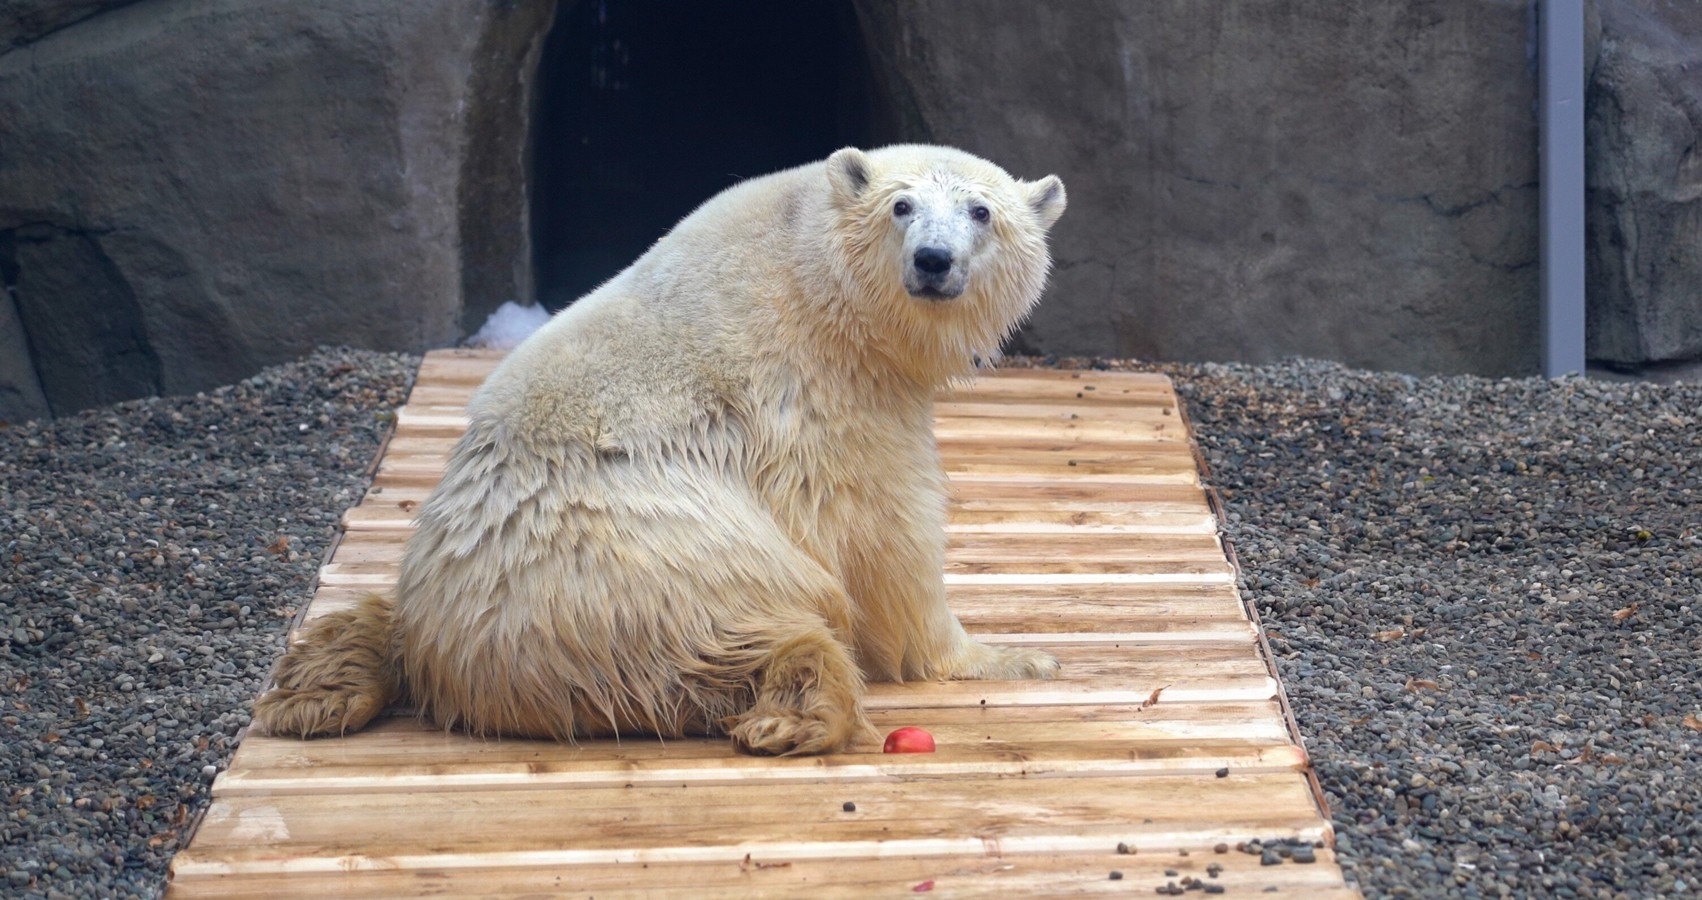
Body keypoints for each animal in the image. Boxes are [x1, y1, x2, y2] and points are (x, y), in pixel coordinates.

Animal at [251, 143, 1062, 755]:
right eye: (901, 206)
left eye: (981, 212)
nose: (933, 260)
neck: (815, 275)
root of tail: (455, 659)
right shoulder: (821, 396)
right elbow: (884, 536)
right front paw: (1013, 656)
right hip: (646, 571)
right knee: (737, 631)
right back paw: (794, 713)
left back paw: (316, 689)